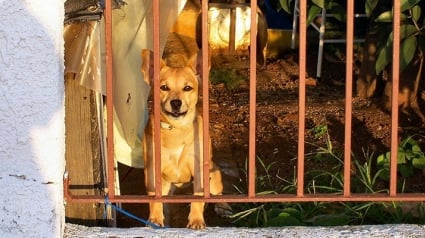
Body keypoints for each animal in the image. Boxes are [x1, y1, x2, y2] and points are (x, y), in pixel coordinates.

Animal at [141, 49, 224, 229]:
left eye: (187, 88)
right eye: (164, 87)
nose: (176, 103)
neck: (176, 129)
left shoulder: (199, 170)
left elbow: (198, 199)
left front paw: (196, 220)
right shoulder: (153, 171)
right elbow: (155, 200)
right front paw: (155, 219)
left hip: (214, 178)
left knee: (219, 193)